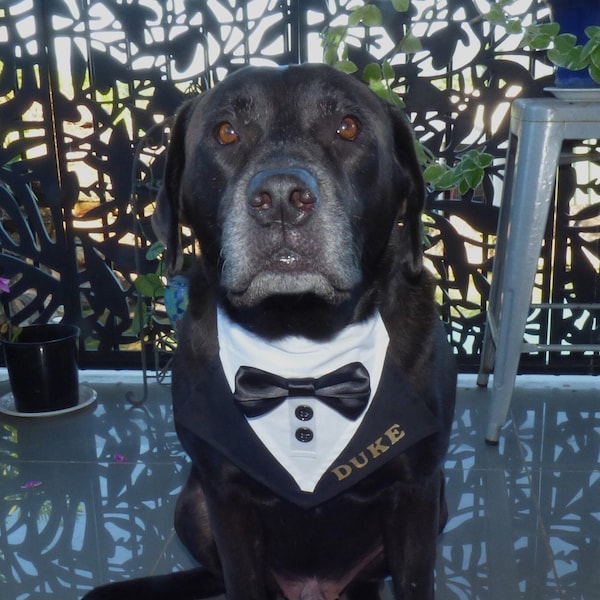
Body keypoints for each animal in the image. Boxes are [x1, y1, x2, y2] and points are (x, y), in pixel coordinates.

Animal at [85, 63, 454, 596]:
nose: (281, 198)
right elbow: (241, 576)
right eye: (225, 132)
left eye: (347, 127)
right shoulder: (225, 493)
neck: (299, 337)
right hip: (190, 504)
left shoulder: (418, 490)